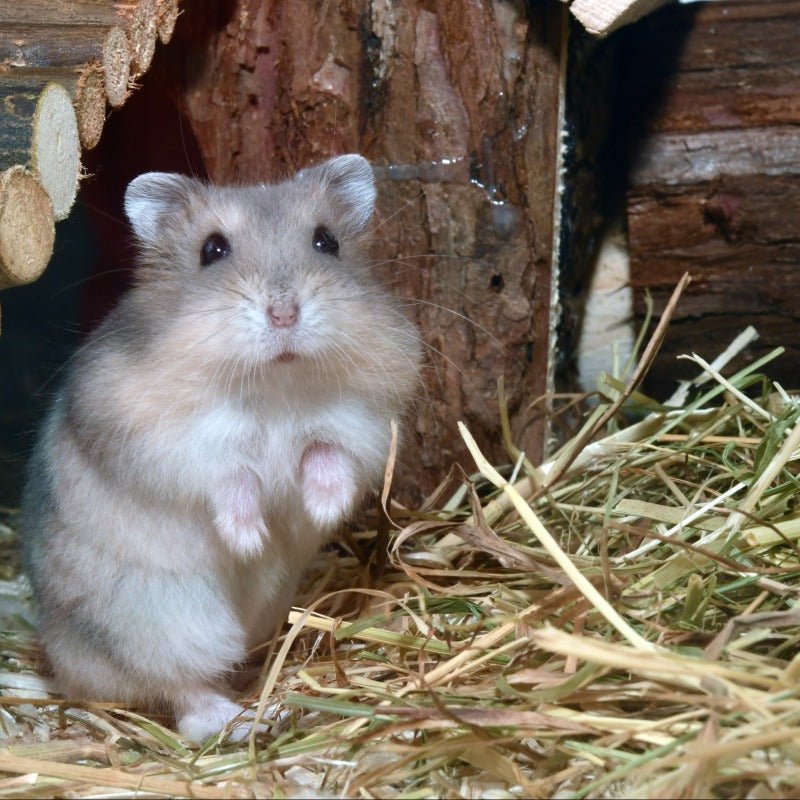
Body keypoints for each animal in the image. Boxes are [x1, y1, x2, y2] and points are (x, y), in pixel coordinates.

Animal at [21, 154, 421, 742]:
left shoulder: (360, 424)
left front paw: (320, 511)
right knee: (181, 692)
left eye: (326, 242)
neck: (274, 384)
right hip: (165, 622)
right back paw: (242, 718)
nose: (284, 314)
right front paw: (251, 540)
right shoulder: (173, 442)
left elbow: (327, 455)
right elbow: (232, 476)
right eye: (212, 250)